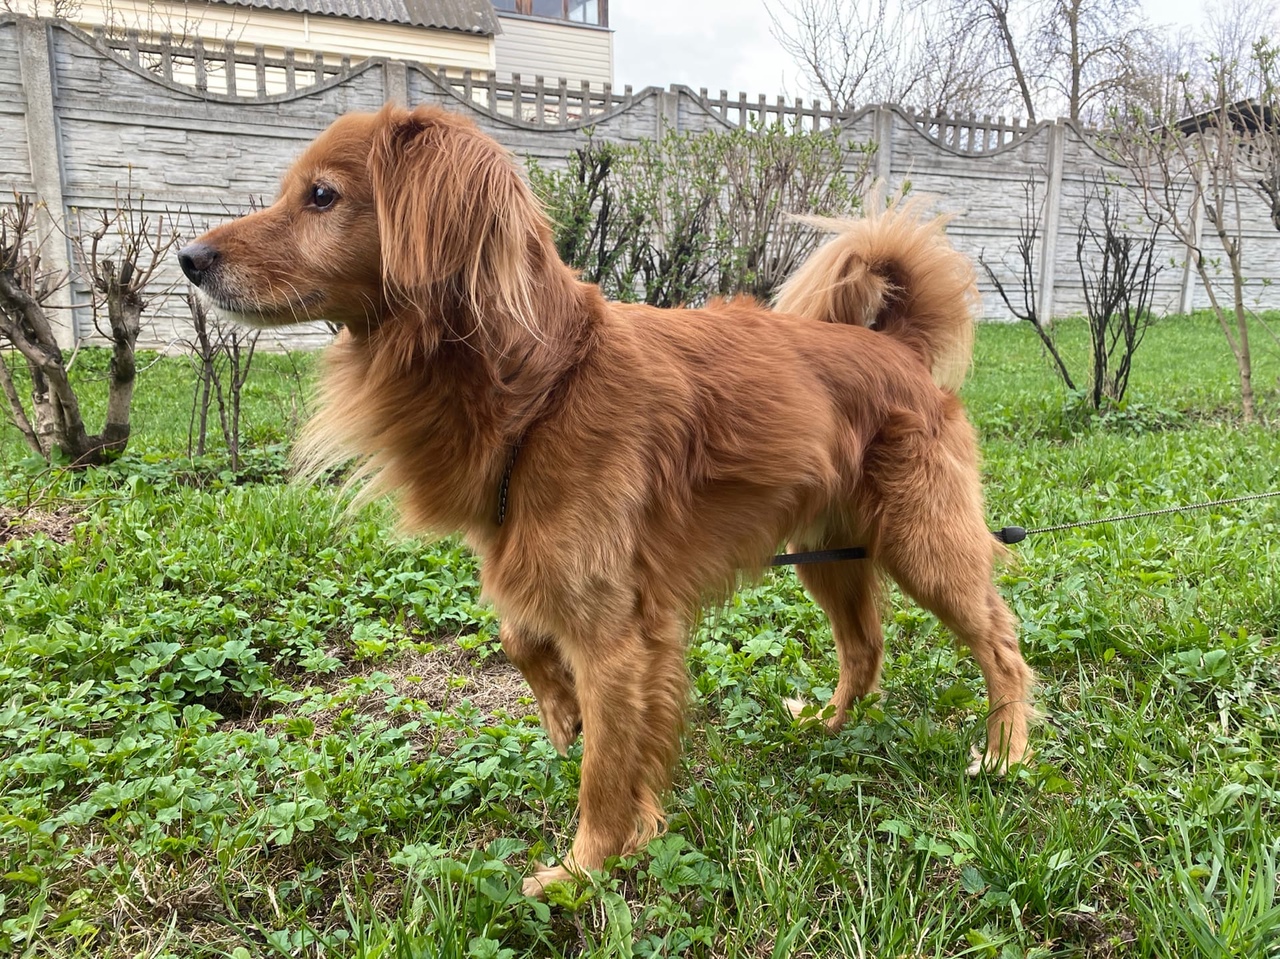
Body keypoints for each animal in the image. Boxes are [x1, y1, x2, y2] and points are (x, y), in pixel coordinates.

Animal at [180, 106, 1034, 896]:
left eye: (321, 196)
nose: (189, 258)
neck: (539, 385)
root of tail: (897, 349)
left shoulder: (616, 634)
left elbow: (604, 771)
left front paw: (581, 867)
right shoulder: (540, 562)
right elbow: (520, 636)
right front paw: (565, 713)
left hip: (926, 545)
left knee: (1002, 646)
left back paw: (1004, 752)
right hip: (828, 552)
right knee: (864, 647)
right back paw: (828, 727)